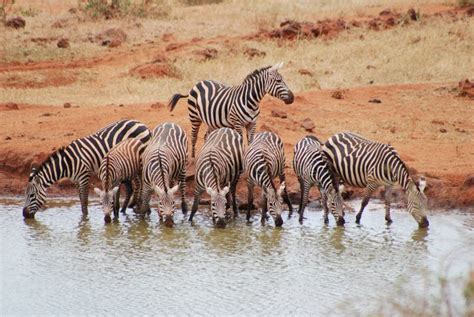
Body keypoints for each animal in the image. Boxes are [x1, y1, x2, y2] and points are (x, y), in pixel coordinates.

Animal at [22, 119, 150, 218]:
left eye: (31, 195)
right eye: (25, 195)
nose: (24, 215)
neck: (68, 163)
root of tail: (142, 124)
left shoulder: (84, 177)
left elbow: (84, 201)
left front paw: (85, 219)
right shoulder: (76, 180)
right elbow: (80, 200)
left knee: (139, 184)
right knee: (131, 187)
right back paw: (127, 209)